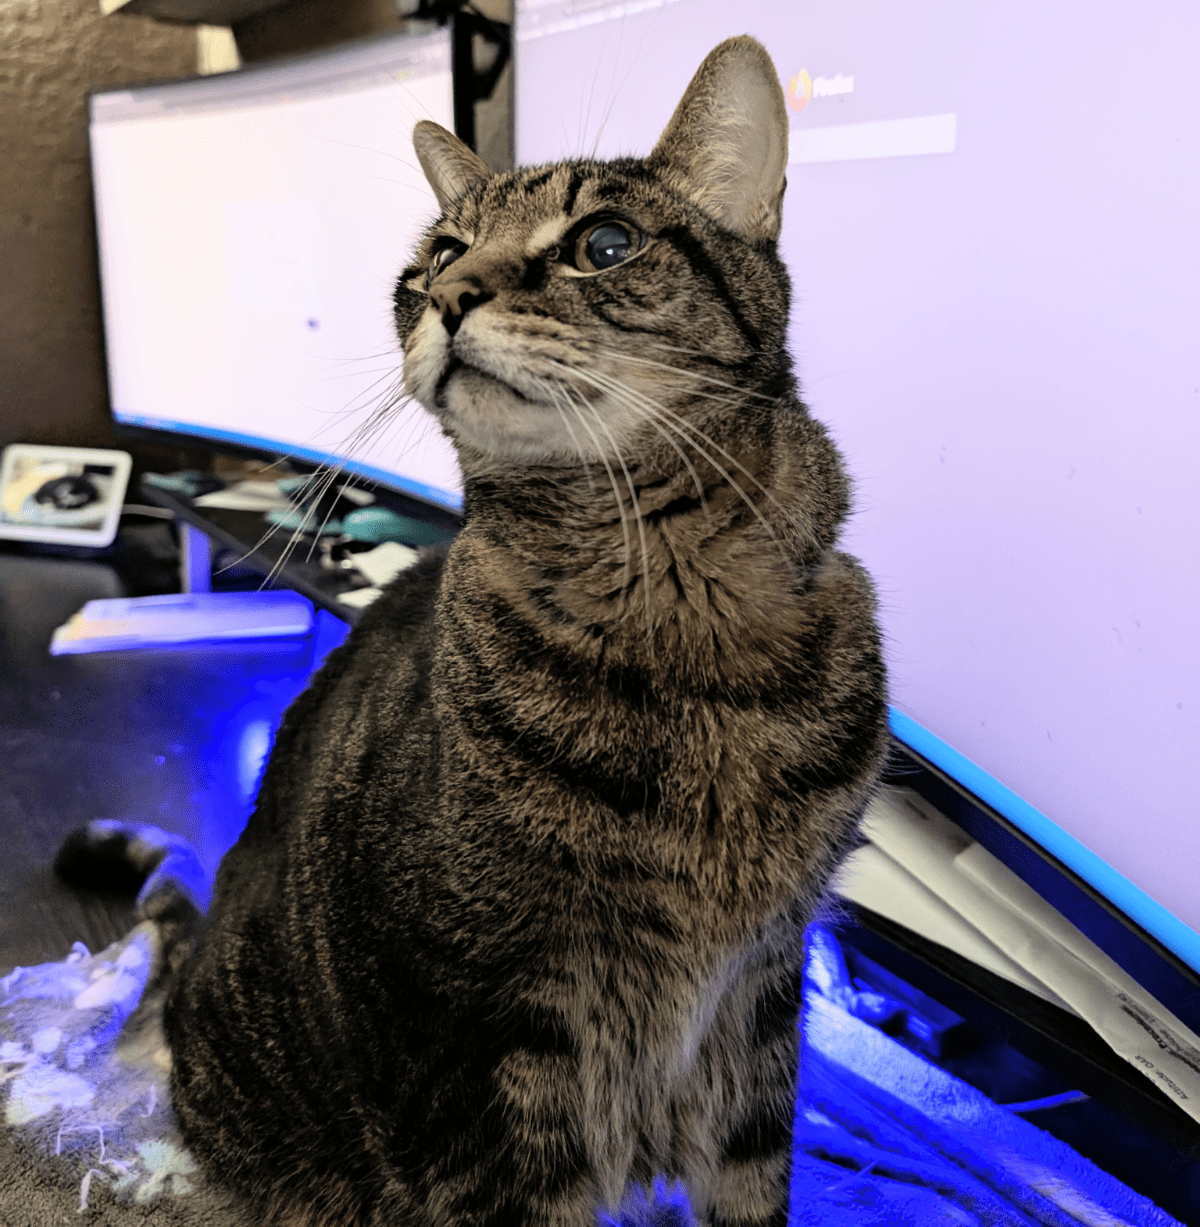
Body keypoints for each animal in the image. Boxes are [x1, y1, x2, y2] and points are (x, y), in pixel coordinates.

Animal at [81, 35, 878, 1227]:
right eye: (440, 256)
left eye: (605, 244)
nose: (448, 297)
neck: (681, 615)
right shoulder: (475, 1039)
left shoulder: (761, 997)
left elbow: (752, 1181)